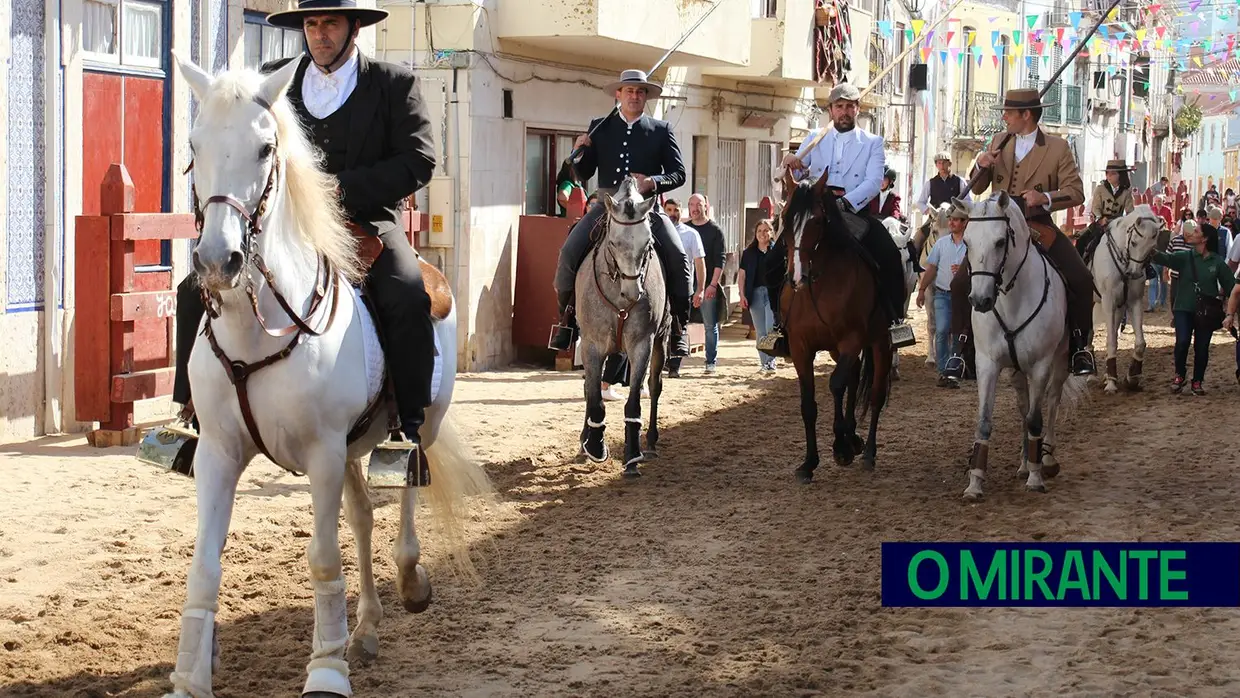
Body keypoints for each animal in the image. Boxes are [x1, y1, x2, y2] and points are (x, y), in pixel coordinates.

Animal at [166, 53, 493, 698]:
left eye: (266, 148)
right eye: (193, 143)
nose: (217, 261)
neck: (257, 326)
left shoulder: (320, 452)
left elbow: (322, 558)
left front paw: (325, 670)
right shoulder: (220, 452)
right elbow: (205, 567)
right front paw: (190, 676)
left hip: (418, 425)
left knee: (407, 487)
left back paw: (410, 583)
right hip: (347, 449)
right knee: (363, 517)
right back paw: (363, 628)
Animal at [577, 177, 674, 478]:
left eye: (649, 242)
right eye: (614, 242)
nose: (633, 293)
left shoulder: (641, 343)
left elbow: (634, 400)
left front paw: (632, 456)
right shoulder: (591, 345)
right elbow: (594, 396)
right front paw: (595, 445)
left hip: (661, 341)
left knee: (654, 385)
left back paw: (651, 441)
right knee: (589, 388)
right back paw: (584, 441)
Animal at [773, 167, 892, 483]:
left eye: (816, 220)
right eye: (785, 217)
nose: (796, 277)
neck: (819, 283)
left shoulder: (851, 339)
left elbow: (836, 385)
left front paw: (841, 447)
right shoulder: (800, 347)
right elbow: (808, 403)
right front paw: (809, 463)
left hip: (880, 342)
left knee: (874, 394)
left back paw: (866, 451)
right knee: (853, 376)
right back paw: (853, 438)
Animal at [952, 193, 1081, 500]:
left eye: (1000, 242)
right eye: (967, 242)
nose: (980, 300)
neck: (1011, 299)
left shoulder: (1041, 365)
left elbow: (1036, 418)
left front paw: (1035, 478)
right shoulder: (987, 364)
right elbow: (985, 421)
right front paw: (975, 482)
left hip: (1060, 361)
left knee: (1052, 401)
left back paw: (1046, 459)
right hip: (1017, 370)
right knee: (1024, 406)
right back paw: (1024, 462)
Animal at [1086, 205, 1160, 394]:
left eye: (1152, 246)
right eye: (1134, 242)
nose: (1133, 273)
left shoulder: (1133, 302)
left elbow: (1140, 343)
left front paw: (1131, 378)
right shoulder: (1108, 302)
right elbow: (1111, 341)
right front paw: (1112, 384)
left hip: (1119, 308)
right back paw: (1091, 374)